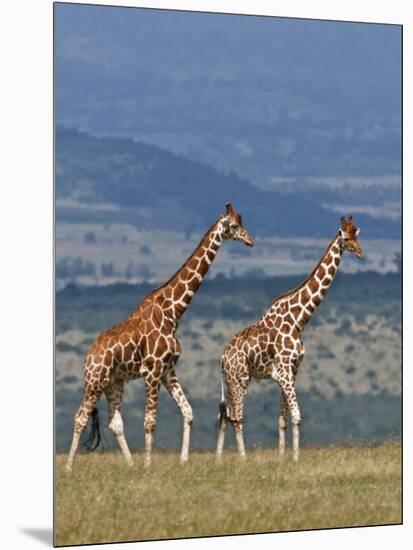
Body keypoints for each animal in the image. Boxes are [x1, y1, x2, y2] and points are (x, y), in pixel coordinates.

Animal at [214, 216, 362, 462]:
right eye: (347, 238)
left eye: (358, 236)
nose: (360, 252)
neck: (298, 321)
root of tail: (223, 358)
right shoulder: (283, 372)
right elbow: (296, 415)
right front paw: (294, 458)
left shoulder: (291, 371)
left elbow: (283, 419)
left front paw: (284, 458)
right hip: (240, 379)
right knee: (237, 417)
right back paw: (243, 459)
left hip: (231, 380)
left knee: (225, 416)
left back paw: (219, 458)